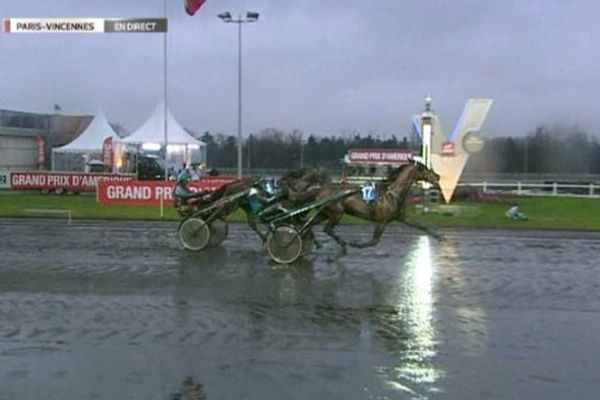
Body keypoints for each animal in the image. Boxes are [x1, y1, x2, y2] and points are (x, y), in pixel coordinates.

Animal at [310, 160, 440, 252]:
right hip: (336, 213)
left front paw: (439, 236)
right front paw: (356, 244)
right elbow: (374, 241)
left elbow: (421, 226)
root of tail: (321, 191)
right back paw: (341, 246)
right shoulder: (381, 221)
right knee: (327, 229)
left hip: (324, 214)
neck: (392, 193)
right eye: (422, 168)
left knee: (311, 225)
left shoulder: (401, 217)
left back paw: (317, 243)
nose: (437, 176)